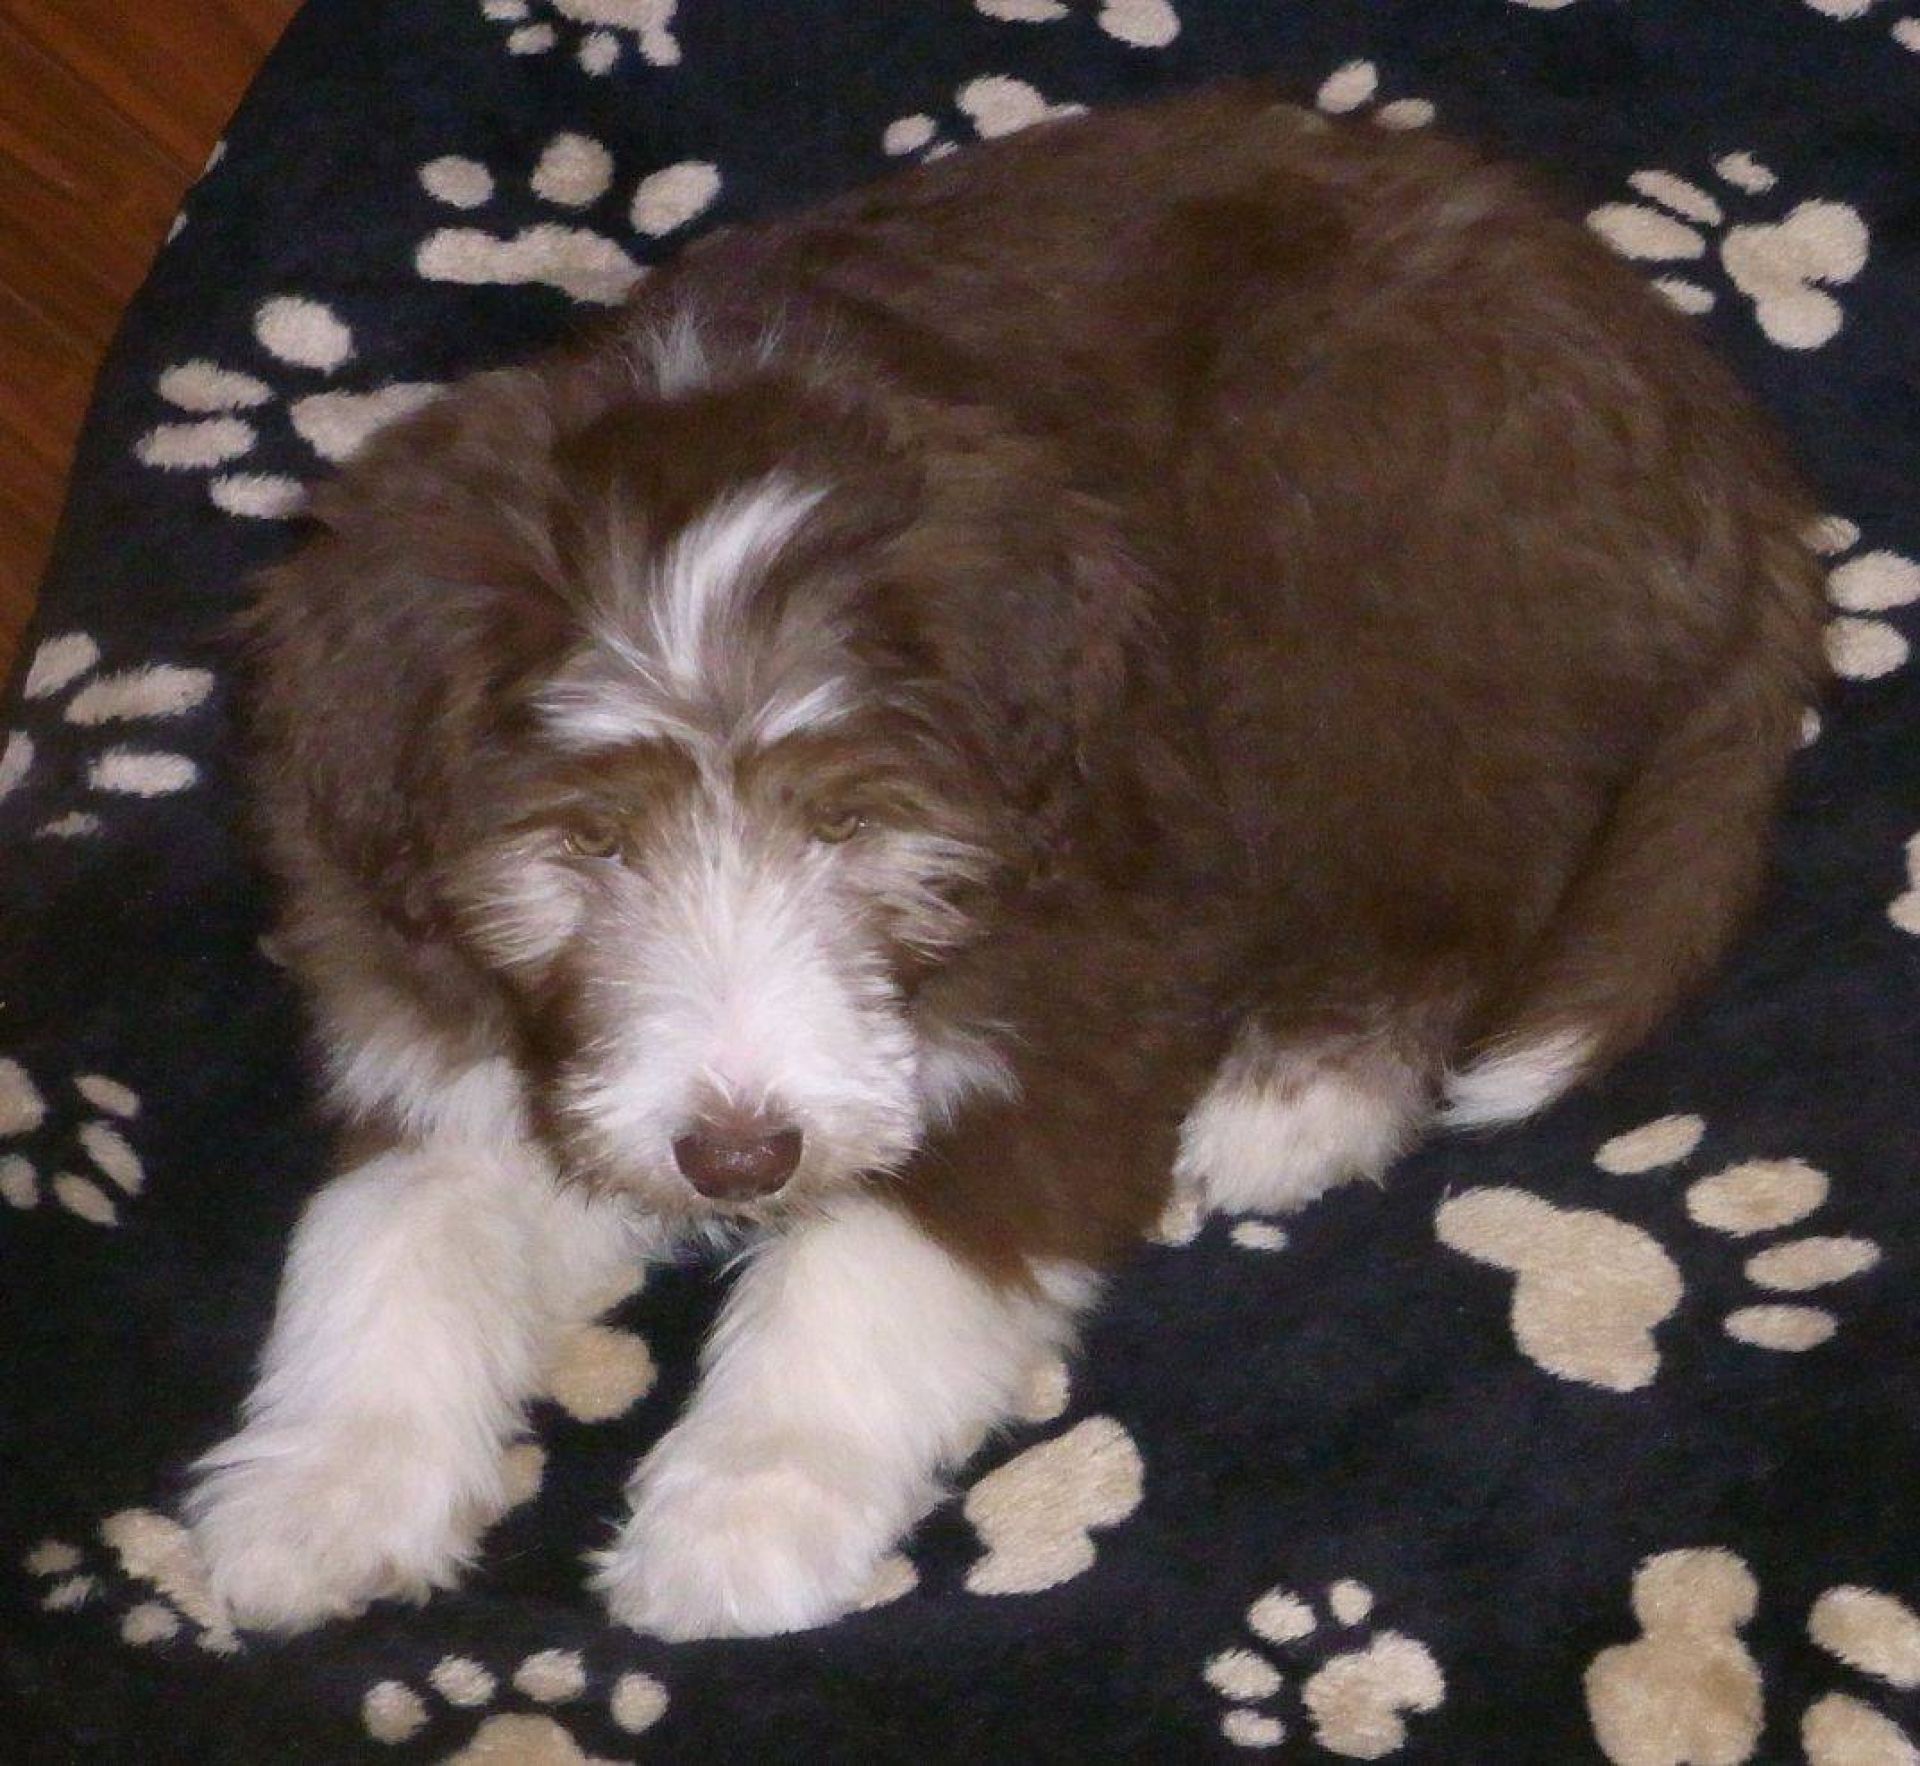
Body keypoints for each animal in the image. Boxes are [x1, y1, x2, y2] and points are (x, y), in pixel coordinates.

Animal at [184, 86, 1824, 1641]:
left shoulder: (1104, 957)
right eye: (585, 840)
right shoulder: (406, 988)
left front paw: (741, 1514)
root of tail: (1709, 411)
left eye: (848, 821)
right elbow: (392, 1224)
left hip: (1345, 570)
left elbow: (894, 1246)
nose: (739, 1158)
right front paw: (315, 1499)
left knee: (1461, 874)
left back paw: (1297, 1098)